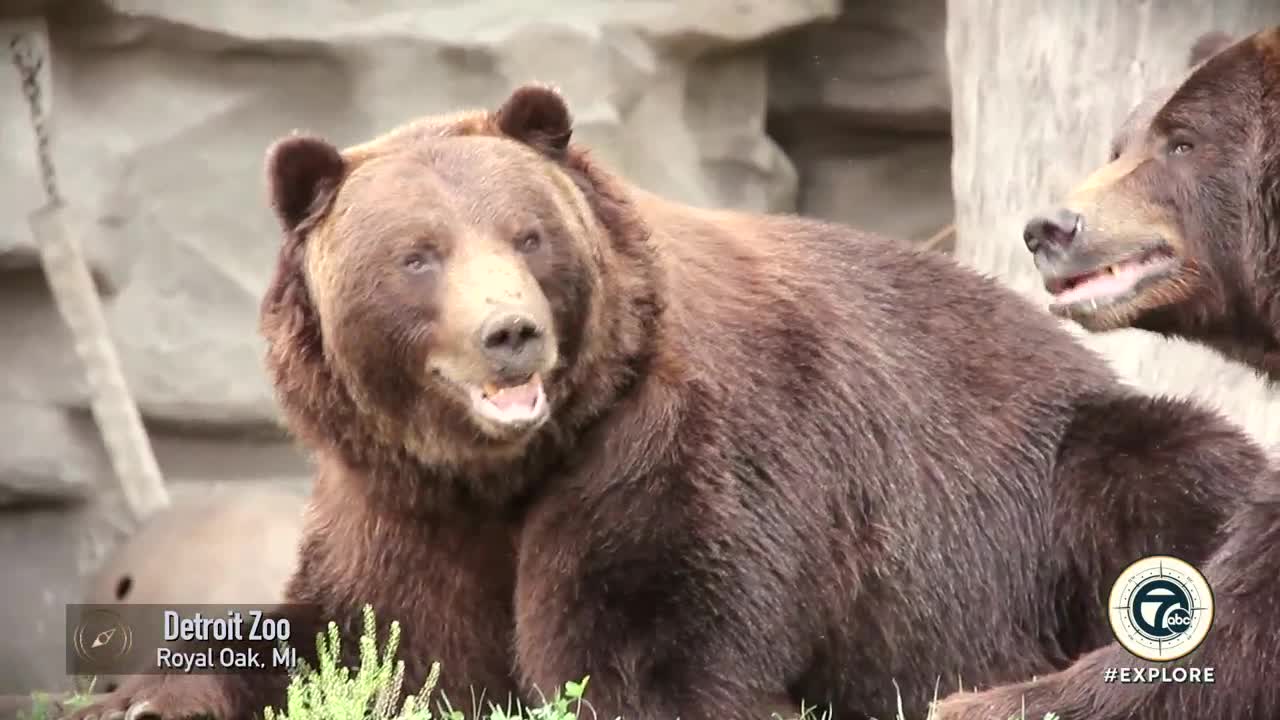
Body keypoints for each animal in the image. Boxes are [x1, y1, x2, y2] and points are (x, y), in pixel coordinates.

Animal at [74, 83, 1264, 717]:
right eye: (417, 255)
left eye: (527, 234)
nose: (509, 334)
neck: (506, 470)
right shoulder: (395, 507)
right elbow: (341, 631)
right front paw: (142, 693)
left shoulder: (679, 451)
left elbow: (652, 644)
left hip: (1051, 483)